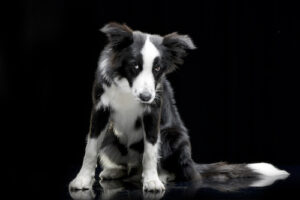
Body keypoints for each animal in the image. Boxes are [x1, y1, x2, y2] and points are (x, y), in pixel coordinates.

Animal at [69, 23, 290, 192]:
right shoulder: (100, 109)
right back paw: (115, 171)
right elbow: (91, 148)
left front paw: (152, 181)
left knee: (171, 168)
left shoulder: (153, 112)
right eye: (135, 66)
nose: (146, 97)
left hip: (173, 135)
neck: (128, 89)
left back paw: (160, 175)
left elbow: (150, 152)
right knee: (127, 165)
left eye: (157, 68)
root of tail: (191, 163)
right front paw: (82, 179)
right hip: (111, 135)